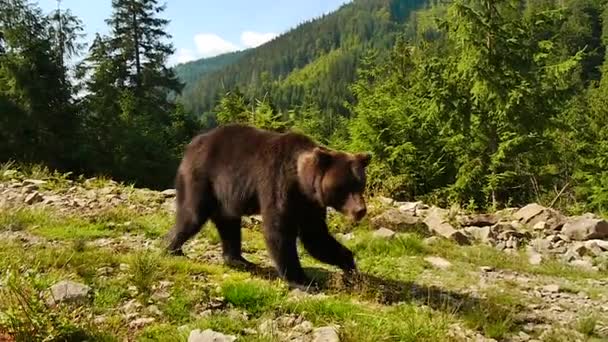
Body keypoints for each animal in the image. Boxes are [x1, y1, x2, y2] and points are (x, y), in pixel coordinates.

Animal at [162, 123, 370, 288]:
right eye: (343, 187)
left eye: (360, 184)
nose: (360, 210)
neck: (301, 181)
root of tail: (191, 146)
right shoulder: (277, 184)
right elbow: (278, 231)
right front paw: (302, 280)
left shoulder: (310, 204)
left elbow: (316, 237)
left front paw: (350, 266)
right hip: (202, 179)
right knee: (192, 215)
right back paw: (172, 248)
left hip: (225, 198)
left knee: (229, 225)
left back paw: (238, 260)